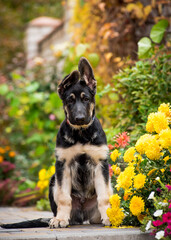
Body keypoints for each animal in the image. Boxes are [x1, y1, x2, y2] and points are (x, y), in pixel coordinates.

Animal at [1, 56, 113, 229]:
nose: (79, 119)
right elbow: (64, 197)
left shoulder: (100, 164)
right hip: (53, 180)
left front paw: (108, 216)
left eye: (86, 99)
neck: (81, 134)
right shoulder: (63, 165)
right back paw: (59, 218)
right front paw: (60, 219)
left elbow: (104, 196)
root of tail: (82, 216)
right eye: (70, 101)